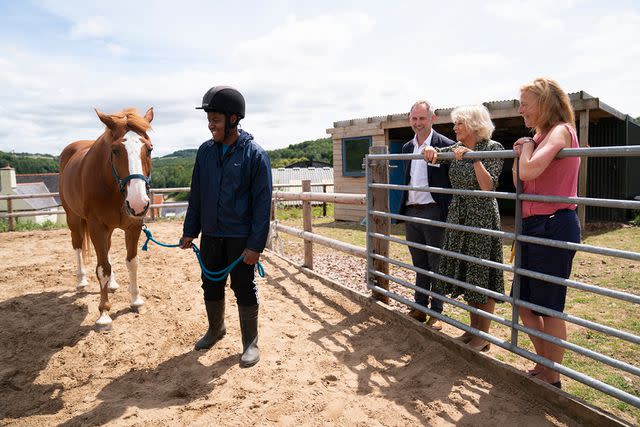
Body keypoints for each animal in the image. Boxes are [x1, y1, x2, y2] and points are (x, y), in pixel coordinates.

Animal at [60, 108, 155, 332]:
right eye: (115, 150)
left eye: (149, 149)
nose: (138, 202)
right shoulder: (96, 226)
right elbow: (102, 268)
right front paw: (104, 314)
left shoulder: (133, 226)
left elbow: (132, 262)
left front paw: (136, 301)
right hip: (73, 219)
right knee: (77, 246)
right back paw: (81, 281)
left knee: (108, 250)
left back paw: (112, 284)